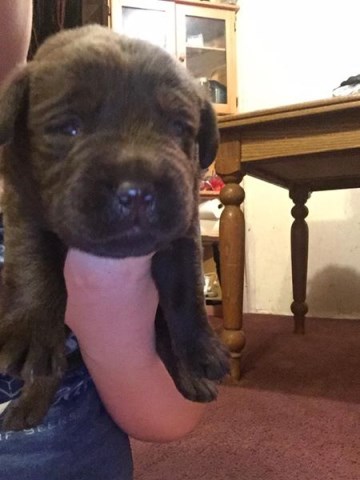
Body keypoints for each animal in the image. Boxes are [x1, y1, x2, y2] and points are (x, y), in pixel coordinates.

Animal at [0, 25, 229, 432]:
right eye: (69, 128)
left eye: (177, 127)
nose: (136, 192)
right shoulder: (23, 203)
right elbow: (33, 262)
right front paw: (32, 330)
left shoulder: (182, 233)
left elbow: (186, 292)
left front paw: (202, 348)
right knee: (51, 368)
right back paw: (30, 404)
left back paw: (192, 380)